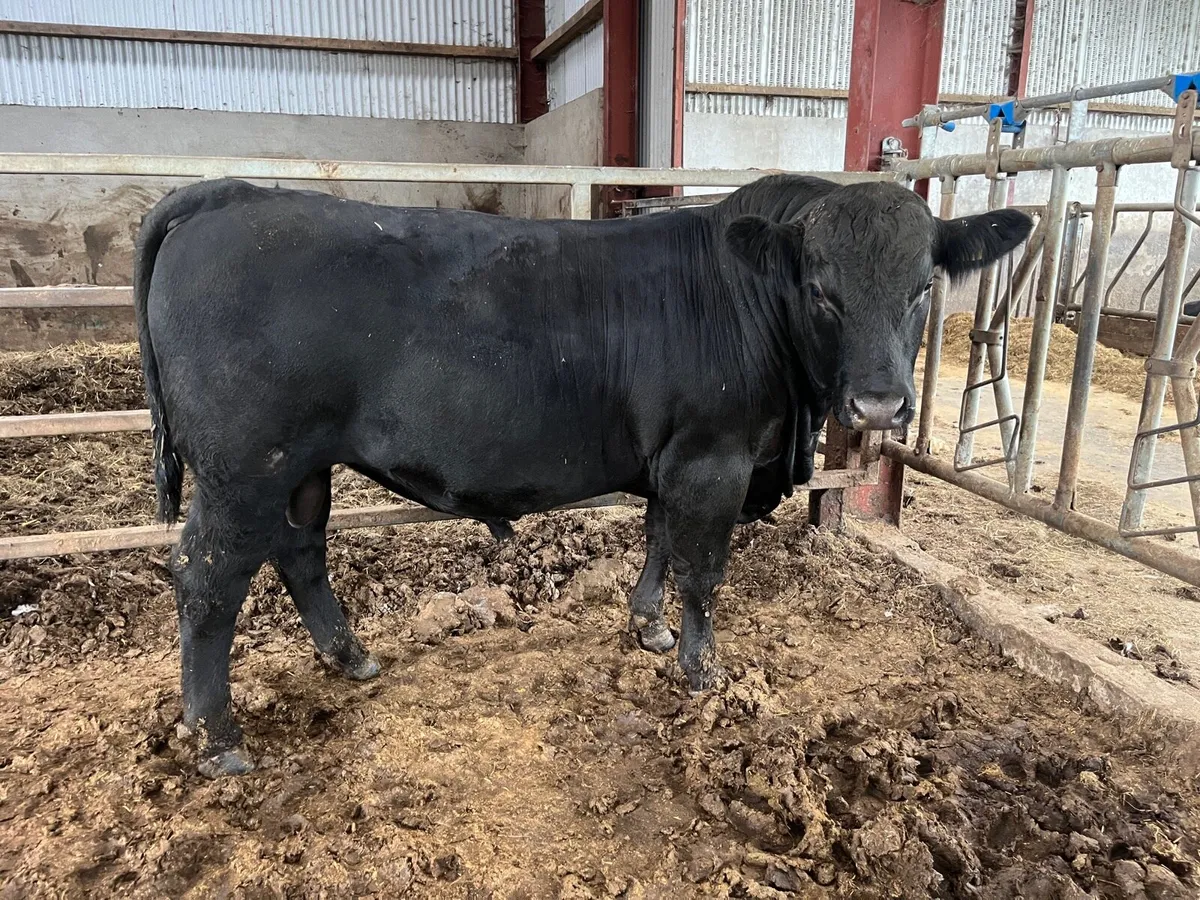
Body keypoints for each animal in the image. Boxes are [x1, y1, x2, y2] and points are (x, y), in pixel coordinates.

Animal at [134, 174, 1031, 777]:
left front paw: (648, 627)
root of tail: (229, 195)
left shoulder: (674, 460)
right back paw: (217, 738)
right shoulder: (713, 457)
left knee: (298, 552)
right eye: (820, 289)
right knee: (207, 583)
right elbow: (704, 568)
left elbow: (660, 541)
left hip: (299, 468)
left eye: (923, 287)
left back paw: (350, 656)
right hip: (243, 471)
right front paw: (704, 670)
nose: (880, 403)